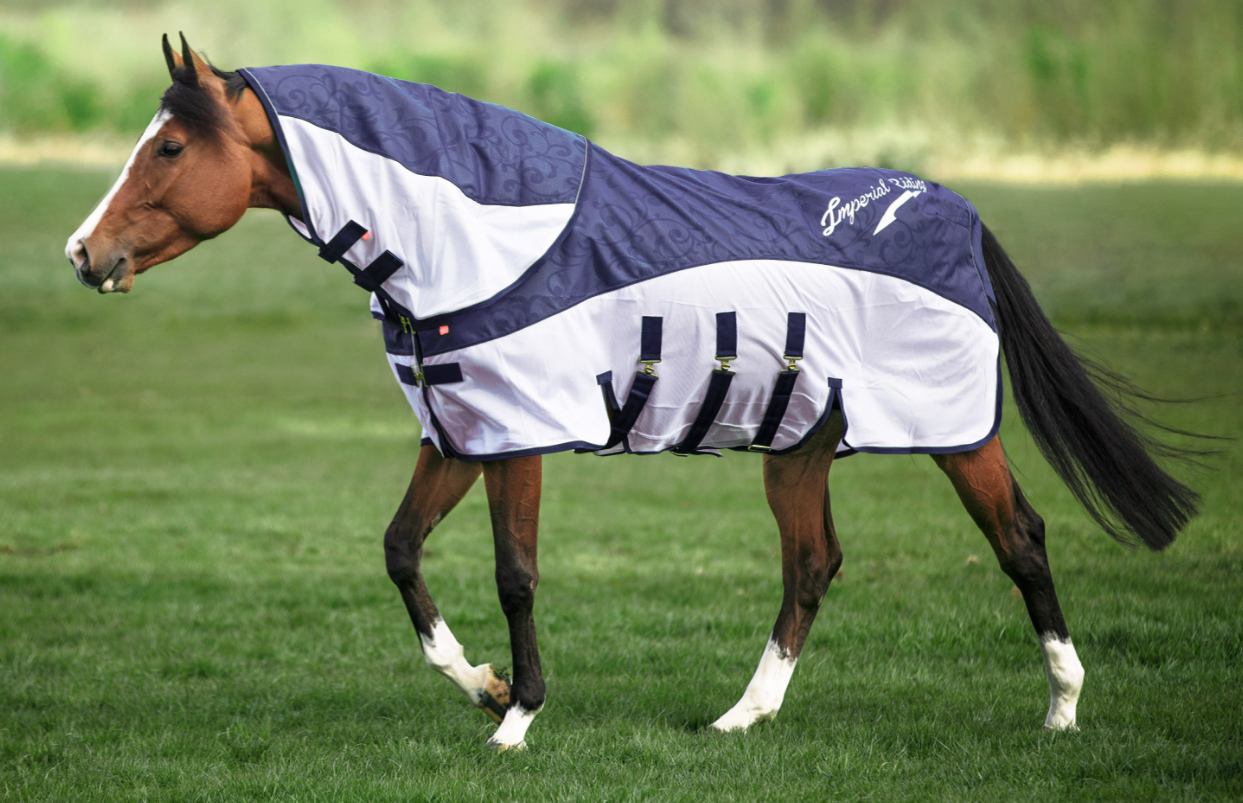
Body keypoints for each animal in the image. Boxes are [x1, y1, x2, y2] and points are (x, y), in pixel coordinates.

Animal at [64, 35, 1202, 751]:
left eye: (171, 146)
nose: (82, 253)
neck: (483, 240)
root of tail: (951, 207)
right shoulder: (460, 428)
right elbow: (399, 551)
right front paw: (480, 683)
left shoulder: (517, 435)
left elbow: (516, 571)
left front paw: (517, 717)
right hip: (798, 443)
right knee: (813, 563)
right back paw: (743, 716)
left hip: (953, 430)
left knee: (1019, 539)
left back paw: (1061, 707)